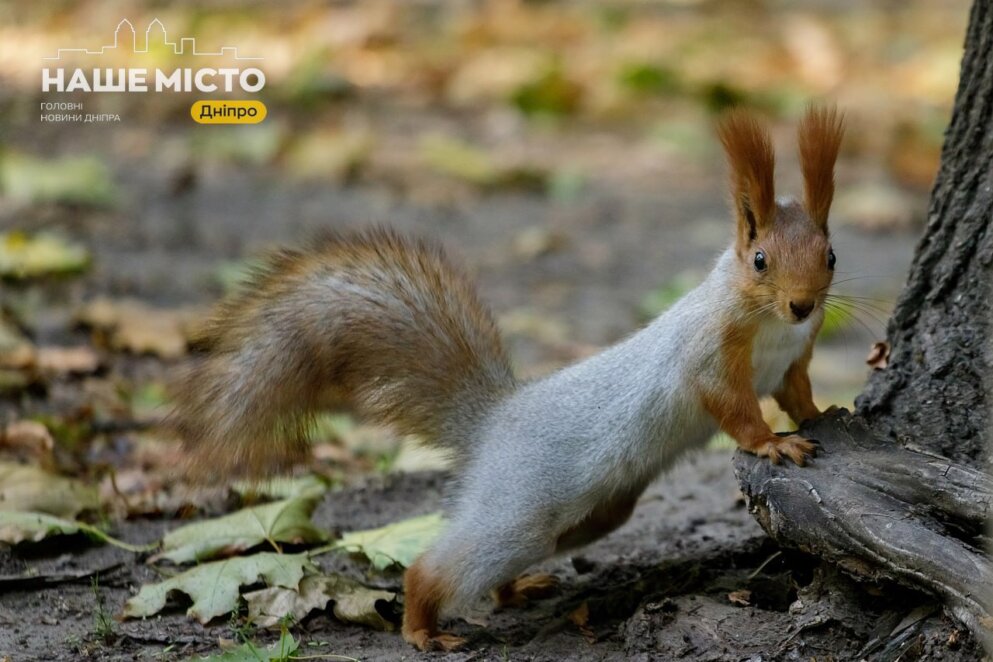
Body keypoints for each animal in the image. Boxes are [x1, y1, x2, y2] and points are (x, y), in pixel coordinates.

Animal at [172, 106, 844, 652]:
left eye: (832, 255)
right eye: (760, 261)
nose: (803, 305)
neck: (769, 325)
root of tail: (494, 420)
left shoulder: (793, 357)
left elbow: (794, 392)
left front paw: (822, 414)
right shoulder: (706, 356)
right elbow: (732, 406)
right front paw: (771, 442)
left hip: (590, 513)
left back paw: (512, 594)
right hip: (519, 507)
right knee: (443, 564)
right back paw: (423, 628)